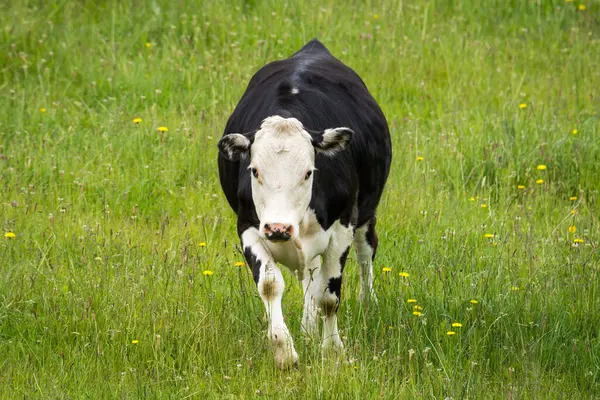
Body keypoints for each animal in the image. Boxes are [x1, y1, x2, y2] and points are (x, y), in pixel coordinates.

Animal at [218, 38, 392, 368]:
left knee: (365, 255)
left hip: (366, 215)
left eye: (309, 172)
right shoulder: (248, 226)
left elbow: (329, 296)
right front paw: (284, 352)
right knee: (311, 276)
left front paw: (332, 350)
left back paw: (368, 303)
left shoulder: (342, 229)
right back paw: (307, 328)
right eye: (254, 170)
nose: (278, 228)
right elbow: (271, 285)